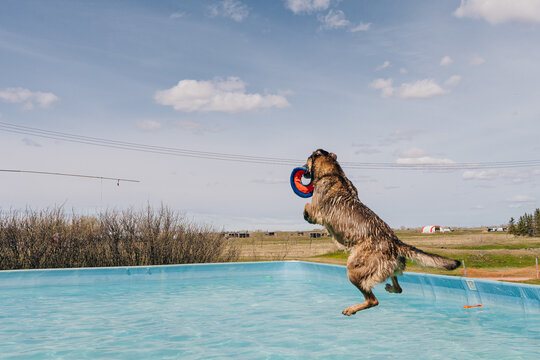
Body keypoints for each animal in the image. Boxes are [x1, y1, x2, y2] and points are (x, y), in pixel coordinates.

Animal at [304, 149, 460, 316]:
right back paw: (390, 288)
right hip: (388, 268)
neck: (333, 173)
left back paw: (352, 309)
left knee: (373, 300)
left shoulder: (316, 212)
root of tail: (395, 242)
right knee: (398, 287)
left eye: (308, 159)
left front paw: (304, 213)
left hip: (353, 270)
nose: (301, 168)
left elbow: (307, 207)